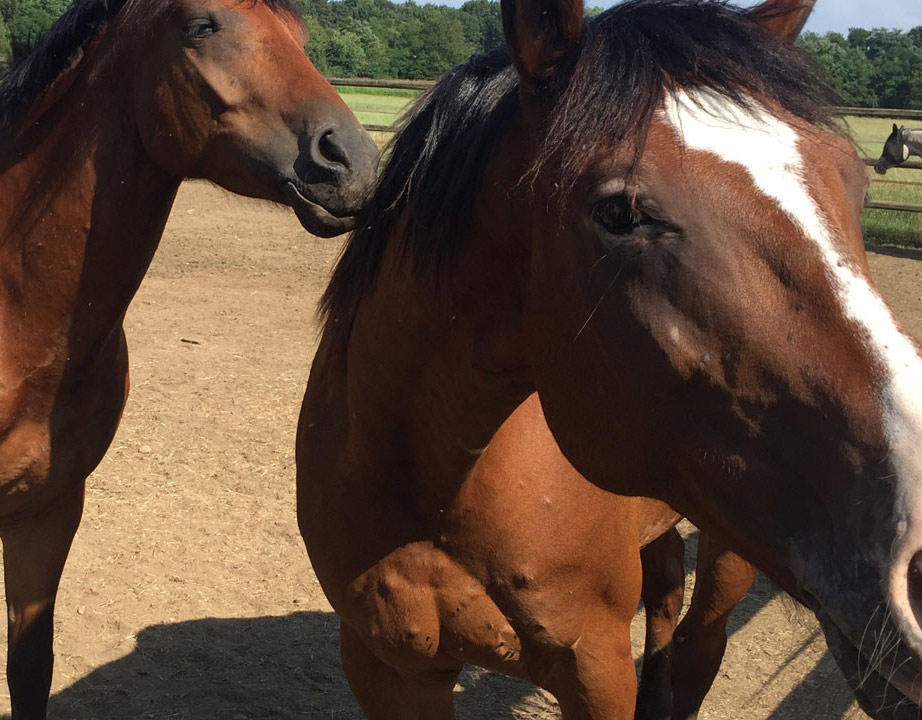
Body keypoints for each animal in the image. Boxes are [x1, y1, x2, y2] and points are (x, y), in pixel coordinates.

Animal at [297, 0, 922, 717]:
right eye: (619, 212)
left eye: (853, 184)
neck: (429, 492)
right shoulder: (386, 667)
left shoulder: (594, 665)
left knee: (701, 644)